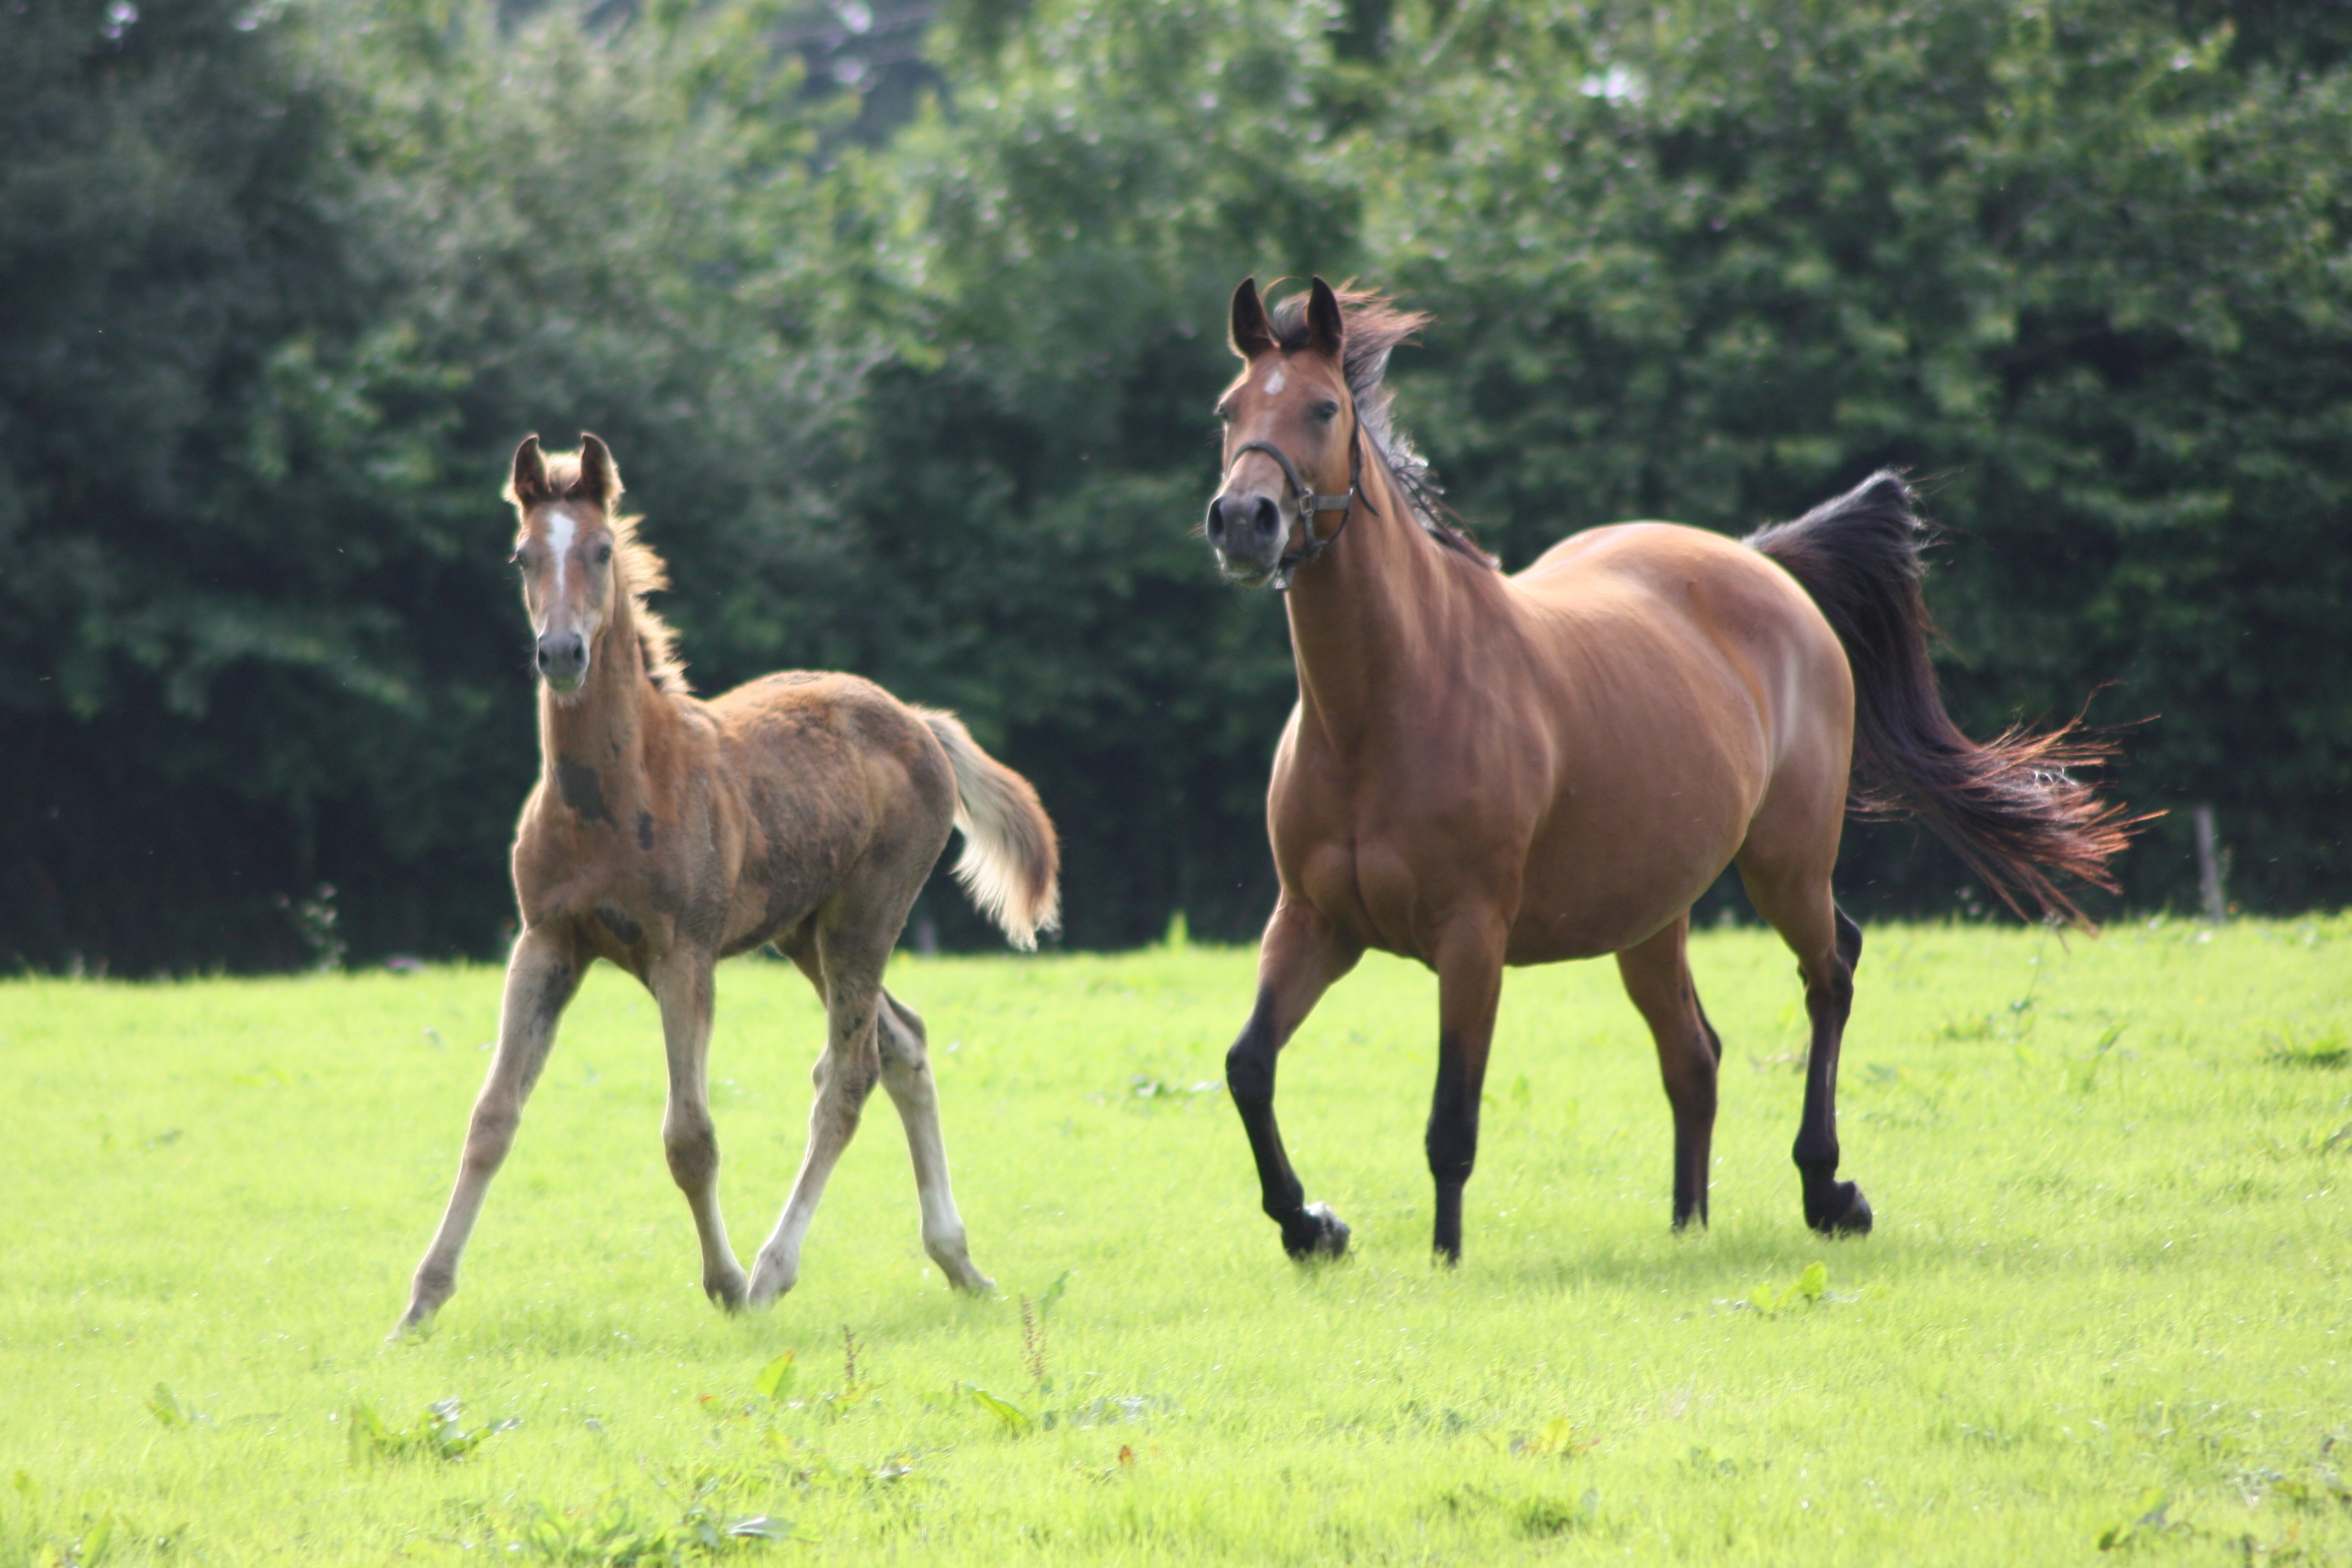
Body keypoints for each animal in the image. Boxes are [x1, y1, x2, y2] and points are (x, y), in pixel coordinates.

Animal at [395, 435, 1058, 1335]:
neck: (618, 792)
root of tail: (920, 721)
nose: (561, 654)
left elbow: (690, 1135)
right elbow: (492, 1117)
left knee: (847, 1076)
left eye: (602, 550)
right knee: (905, 1044)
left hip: (867, 915)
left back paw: (777, 1270)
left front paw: (728, 1284)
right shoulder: (547, 942)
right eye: (522, 555)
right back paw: (957, 1261)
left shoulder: (685, 955)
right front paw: (420, 1303)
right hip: (806, 930)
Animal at [1204, 282, 2145, 1260]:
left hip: (1786, 867)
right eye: (1228, 411)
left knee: (1832, 971)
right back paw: (1688, 1225)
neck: (1384, 709)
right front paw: (1312, 1226)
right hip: (1651, 917)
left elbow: (1451, 1123)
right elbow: (1249, 1067)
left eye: (1324, 407)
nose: (1242, 522)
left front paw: (1442, 1260)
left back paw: (1828, 1191)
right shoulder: (1313, 922)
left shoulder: (1472, 938)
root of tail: (1762, 564)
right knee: (1695, 1054)